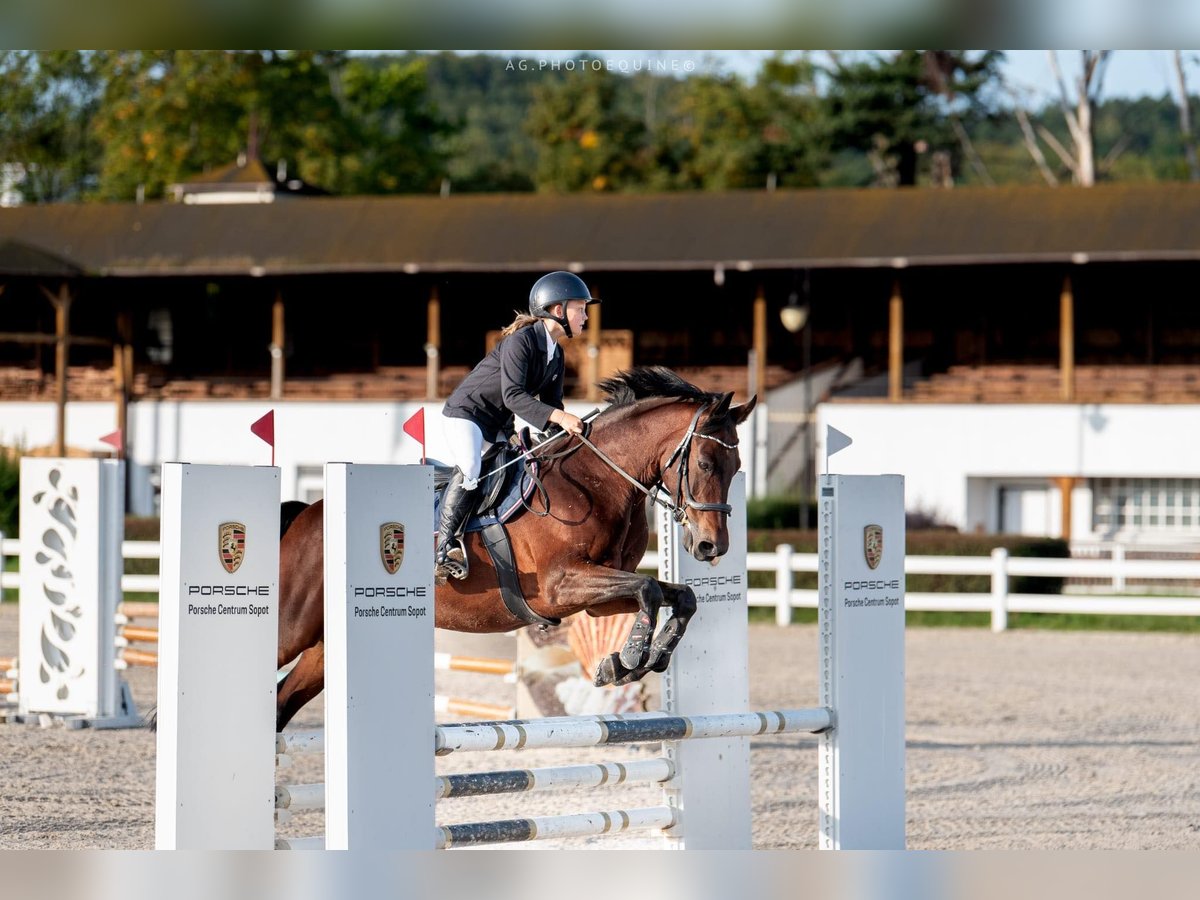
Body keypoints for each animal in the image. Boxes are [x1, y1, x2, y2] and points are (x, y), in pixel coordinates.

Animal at [276, 367, 753, 734]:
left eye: (736, 469)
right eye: (705, 464)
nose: (711, 545)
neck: (599, 478)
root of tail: (305, 514)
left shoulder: (599, 598)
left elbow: (675, 595)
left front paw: (639, 659)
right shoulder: (560, 585)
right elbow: (650, 589)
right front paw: (632, 658)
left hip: (321, 651)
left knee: (281, 702)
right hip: (293, 628)